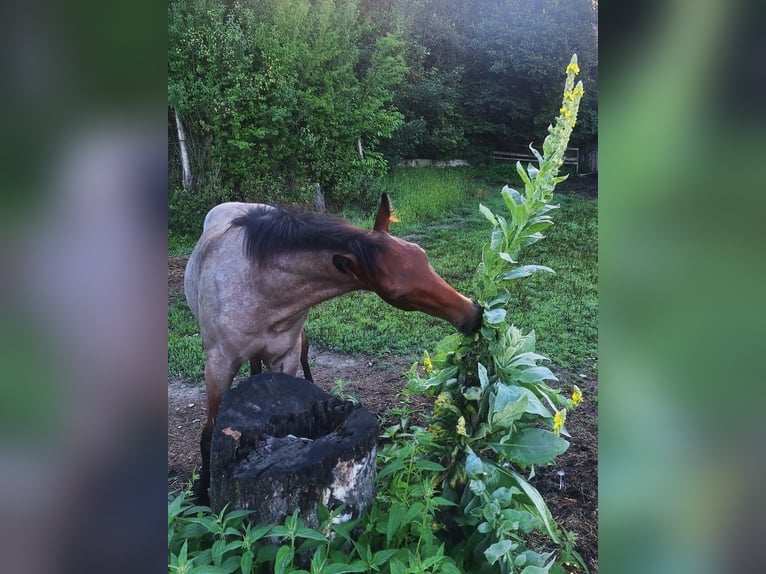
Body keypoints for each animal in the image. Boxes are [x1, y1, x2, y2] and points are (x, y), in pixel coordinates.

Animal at [184, 193, 483, 502]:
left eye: (422, 255)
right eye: (398, 294)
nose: (473, 313)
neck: (258, 285)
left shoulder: (285, 358)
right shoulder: (218, 364)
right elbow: (208, 434)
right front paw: (201, 493)